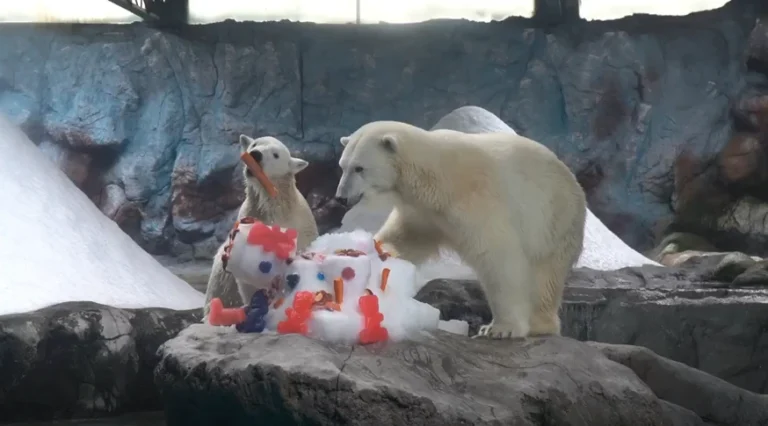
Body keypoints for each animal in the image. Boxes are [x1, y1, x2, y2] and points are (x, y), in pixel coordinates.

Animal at [334, 120, 586, 339]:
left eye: (360, 168)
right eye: (342, 166)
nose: (341, 197)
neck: (432, 177)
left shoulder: (476, 201)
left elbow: (499, 258)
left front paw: (500, 328)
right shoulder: (423, 212)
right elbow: (406, 237)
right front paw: (374, 252)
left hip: (554, 220)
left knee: (544, 277)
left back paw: (539, 323)